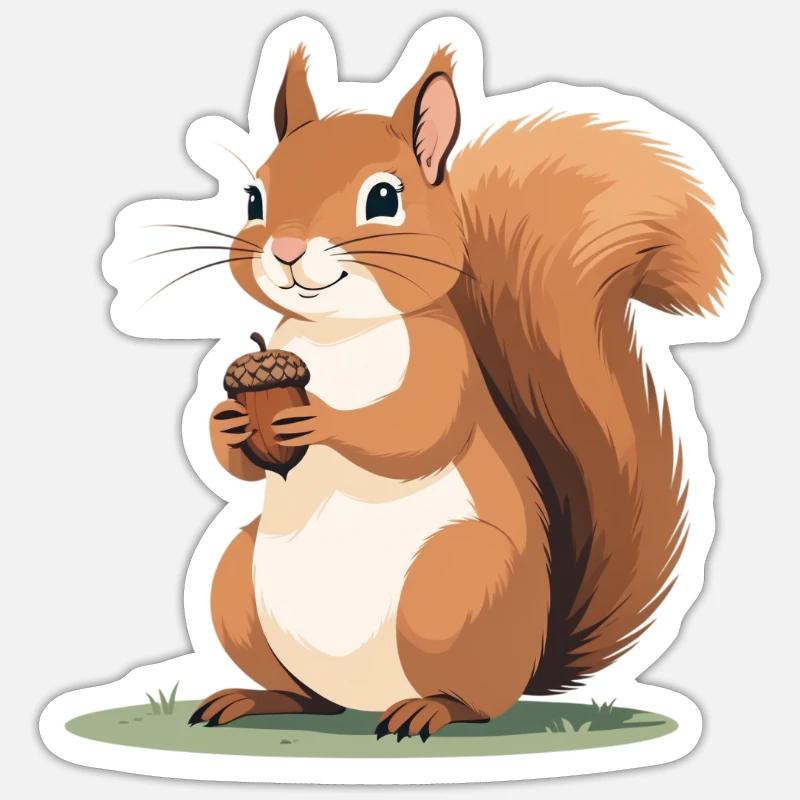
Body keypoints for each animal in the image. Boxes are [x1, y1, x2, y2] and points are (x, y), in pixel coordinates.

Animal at [189, 46, 727, 741]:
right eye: (254, 197)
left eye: (384, 197)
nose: (284, 249)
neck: (338, 330)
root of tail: (530, 660)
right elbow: (241, 465)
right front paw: (227, 422)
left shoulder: (445, 365)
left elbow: (414, 431)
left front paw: (320, 420)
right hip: (239, 581)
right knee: (310, 698)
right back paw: (256, 699)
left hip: (454, 583)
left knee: (476, 701)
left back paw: (430, 710)